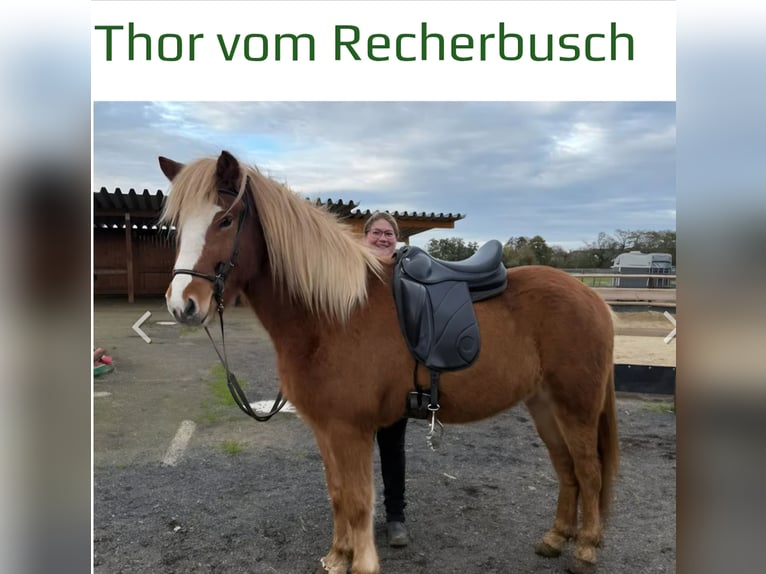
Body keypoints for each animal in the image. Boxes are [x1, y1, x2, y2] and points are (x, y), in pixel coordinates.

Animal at [158, 150, 619, 574]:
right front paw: (337, 556)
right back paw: (556, 538)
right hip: (544, 405)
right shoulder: (326, 428)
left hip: (575, 407)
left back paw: (585, 549)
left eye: (225, 220)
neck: (332, 314)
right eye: (179, 224)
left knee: (590, 471)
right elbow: (338, 493)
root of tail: (592, 297)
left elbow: (360, 500)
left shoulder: (351, 429)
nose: (183, 305)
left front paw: (361, 563)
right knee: (566, 469)